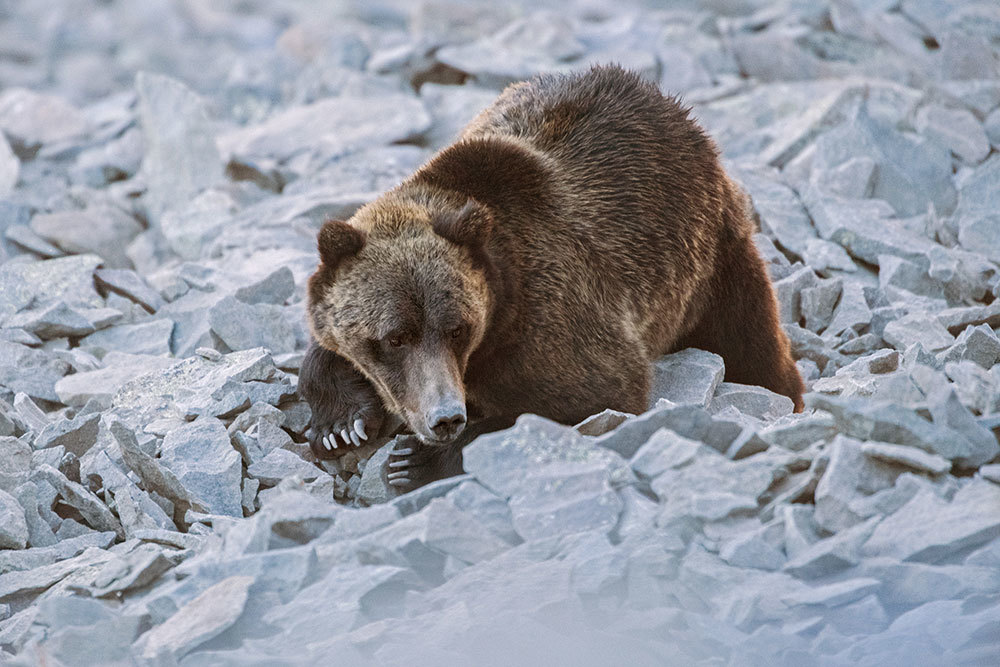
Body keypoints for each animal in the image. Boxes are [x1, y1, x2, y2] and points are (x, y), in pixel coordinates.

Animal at [296, 65, 804, 494]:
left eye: (457, 328)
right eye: (395, 337)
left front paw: (416, 461)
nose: (446, 418)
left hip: (714, 260)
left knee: (751, 343)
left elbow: (594, 391)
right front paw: (342, 422)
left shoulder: (549, 310)